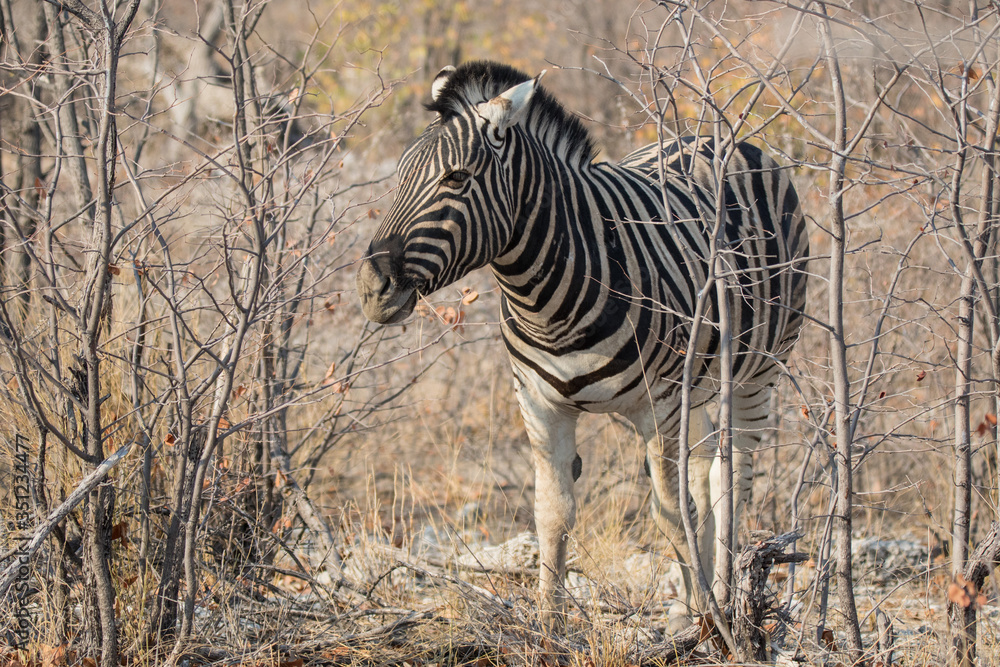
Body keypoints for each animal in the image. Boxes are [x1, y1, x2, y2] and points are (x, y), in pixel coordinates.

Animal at [357, 61, 808, 627]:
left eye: (456, 178)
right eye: (398, 176)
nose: (372, 288)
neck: (547, 303)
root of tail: (721, 137)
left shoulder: (660, 404)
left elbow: (671, 513)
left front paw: (709, 624)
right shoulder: (538, 403)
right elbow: (553, 515)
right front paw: (549, 626)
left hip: (757, 374)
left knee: (732, 483)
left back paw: (724, 600)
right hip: (699, 386)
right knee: (705, 475)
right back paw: (690, 606)